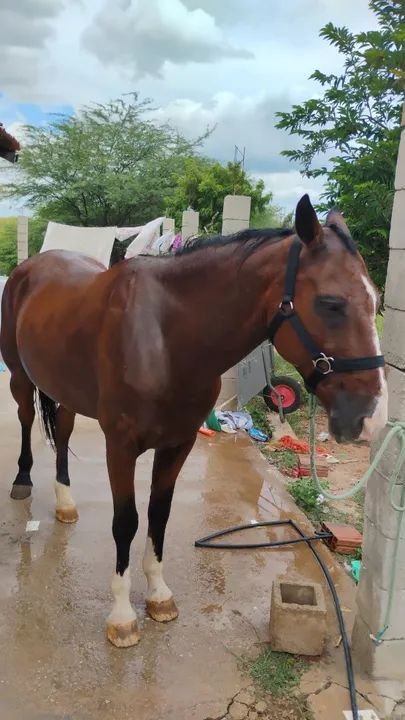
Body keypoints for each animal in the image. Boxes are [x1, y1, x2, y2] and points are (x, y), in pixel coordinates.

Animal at [0, 195, 387, 648]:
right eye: (331, 303)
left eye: (376, 302)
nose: (372, 416)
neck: (165, 338)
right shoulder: (120, 446)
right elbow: (126, 522)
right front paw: (122, 616)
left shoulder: (178, 444)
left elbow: (159, 515)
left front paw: (158, 595)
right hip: (21, 377)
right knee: (27, 418)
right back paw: (23, 481)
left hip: (66, 388)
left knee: (61, 432)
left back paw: (65, 503)